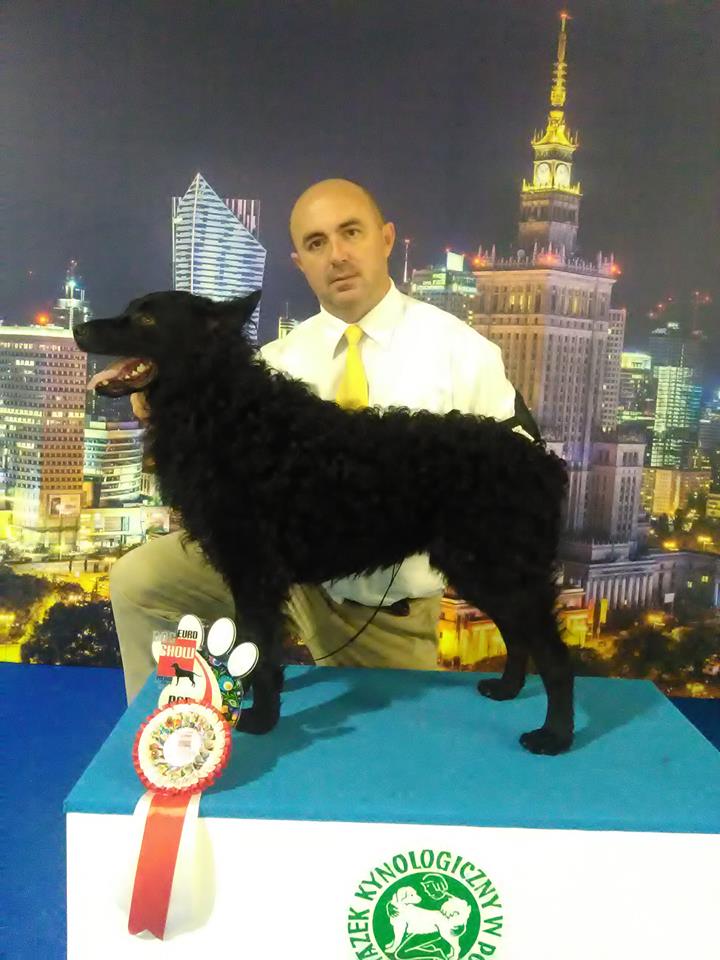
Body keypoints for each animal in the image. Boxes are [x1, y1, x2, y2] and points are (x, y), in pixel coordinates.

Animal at [73, 290, 573, 754]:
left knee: (555, 656)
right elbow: (261, 648)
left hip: (498, 570)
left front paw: (261, 719)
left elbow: (260, 650)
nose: (78, 329)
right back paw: (506, 689)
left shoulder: (254, 571)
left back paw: (555, 736)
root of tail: (542, 461)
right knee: (519, 637)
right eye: (131, 308)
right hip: (481, 572)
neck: (227, 409)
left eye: (147, 319)